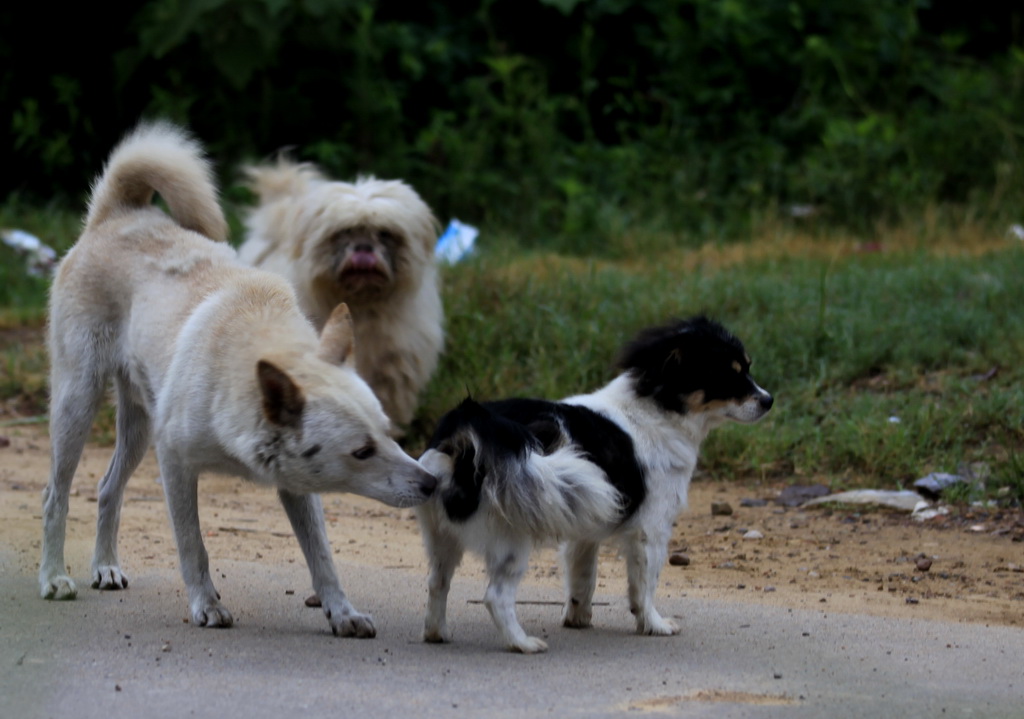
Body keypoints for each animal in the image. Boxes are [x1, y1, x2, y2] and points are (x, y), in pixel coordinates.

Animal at [417, 315, 774, 655]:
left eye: (748, 368)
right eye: (729, 375)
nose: (769, 400)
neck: (655, 410)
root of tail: (467, 430)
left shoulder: (585, 531)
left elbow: (583, 578)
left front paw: (578, 618)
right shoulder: (651, 530)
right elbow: (645, 585)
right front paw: (653, 624)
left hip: (442, 536)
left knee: (437, 582)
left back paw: (437, 633)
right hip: (511, 539)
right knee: (495, 597)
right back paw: (522, 643)